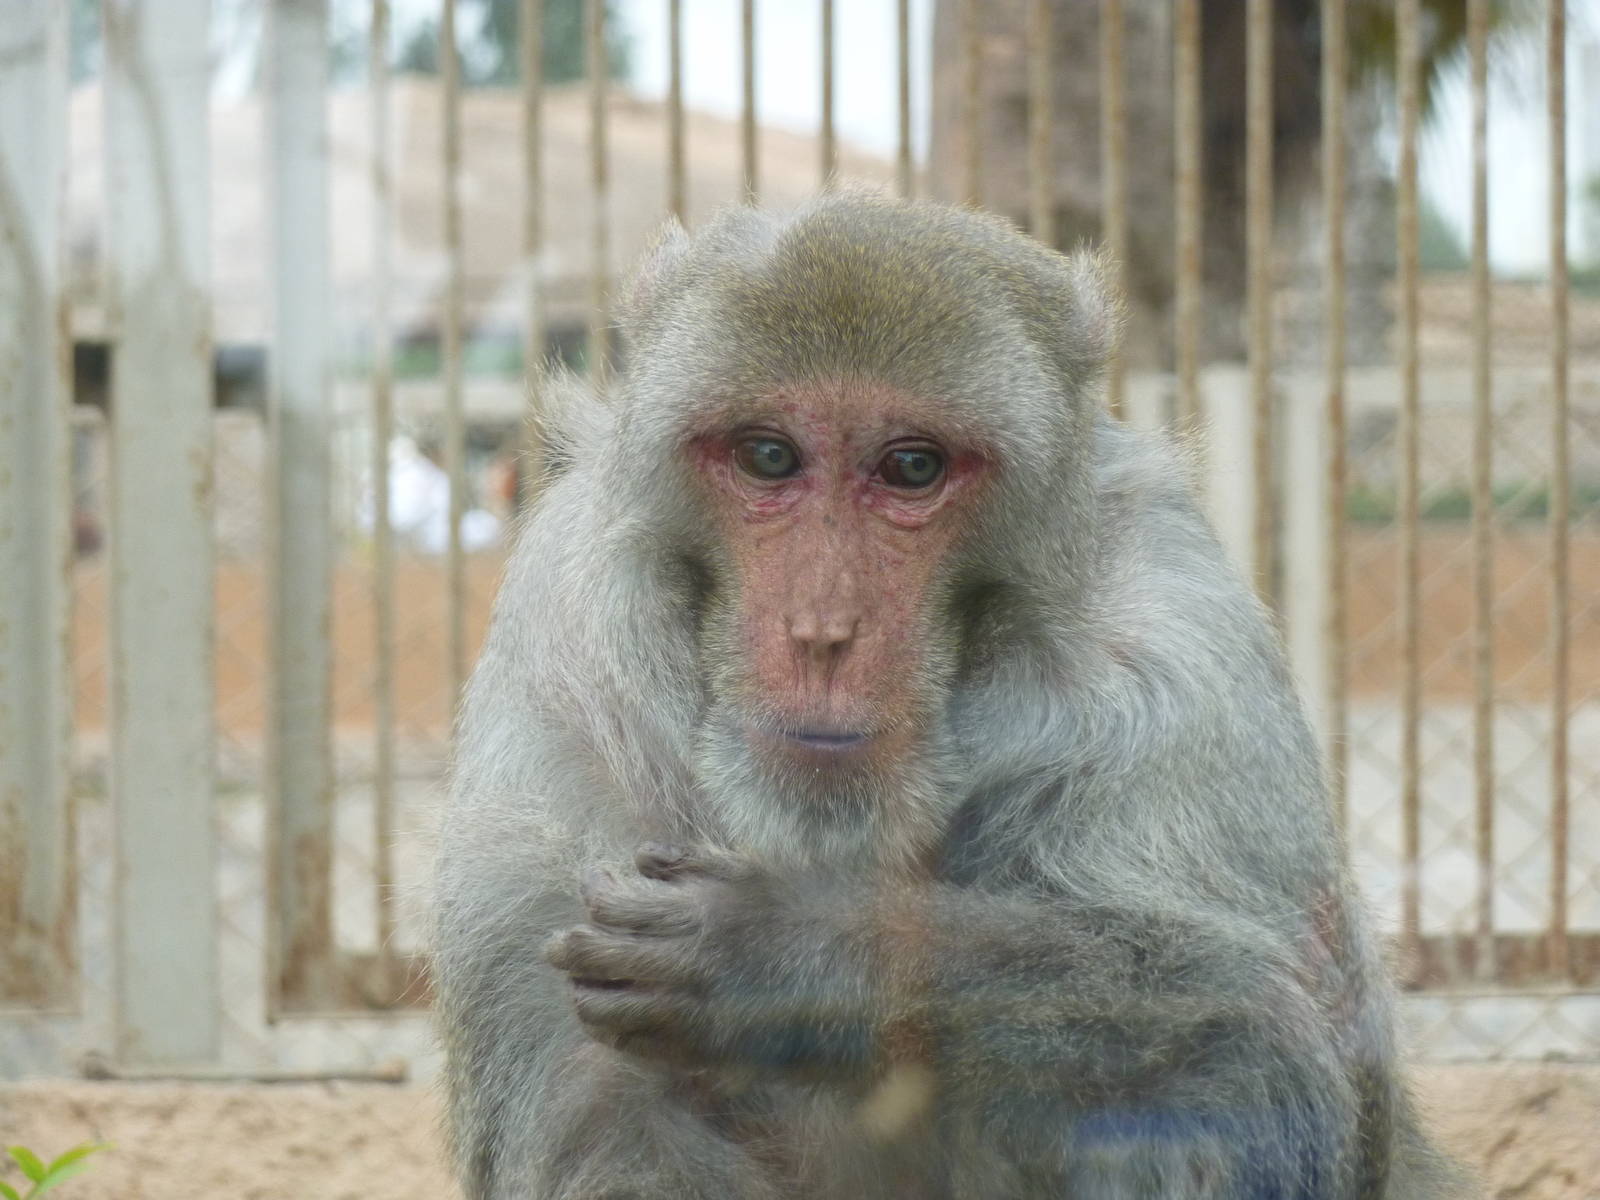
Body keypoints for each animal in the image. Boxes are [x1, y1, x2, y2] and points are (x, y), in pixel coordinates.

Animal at [432, 192, 1460, 1199]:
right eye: (768, 457)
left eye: (912, 467)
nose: (823, 631)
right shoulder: (571, 657)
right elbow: (606, 1118)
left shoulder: (1179, 656)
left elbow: (1265, 1070)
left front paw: (799, 960)